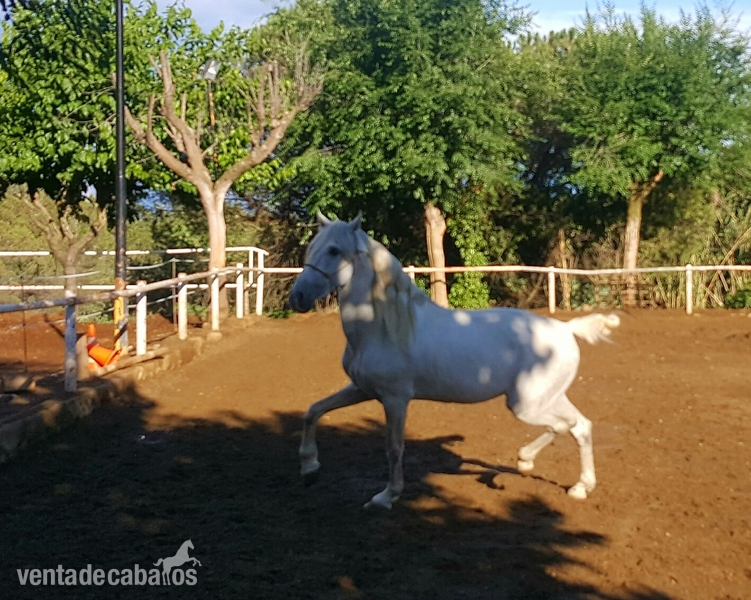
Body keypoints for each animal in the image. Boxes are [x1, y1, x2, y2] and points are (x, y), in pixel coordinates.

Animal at [289, 213, 620, 509]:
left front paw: (385, 497)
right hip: (546, 398)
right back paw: (576, 485)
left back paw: (524, 465)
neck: (383, 328)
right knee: (580, 426)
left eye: (334, 250)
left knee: (567, 425)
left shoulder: (395, 399)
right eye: (312, 247)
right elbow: (313, 411)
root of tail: (566, 329)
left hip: (526, 405)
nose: (298, 298)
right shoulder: (362, 389)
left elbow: (394, 448)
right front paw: (309, 470)